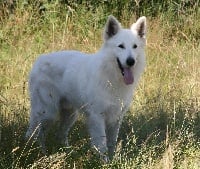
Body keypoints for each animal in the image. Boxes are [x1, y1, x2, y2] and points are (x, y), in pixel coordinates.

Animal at [25, 15, 146, 160]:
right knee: (37, 135)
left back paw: (68, 153)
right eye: (121, 46)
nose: (130, 61)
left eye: (135, 47)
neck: (111, 77)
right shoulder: (97, 117)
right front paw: (104, 162)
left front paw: (113, 160)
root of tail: (39, 60)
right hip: (47, 113)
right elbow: (102, 145)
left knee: (60, 134)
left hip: (70, 115)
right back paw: (42, 154)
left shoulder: (116, 118)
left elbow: (112, 143)